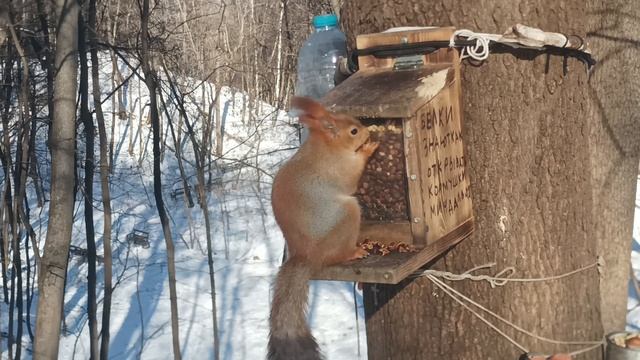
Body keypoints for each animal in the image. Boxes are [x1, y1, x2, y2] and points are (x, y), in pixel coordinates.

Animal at [268, 97, 378, 358]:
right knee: (339, 253)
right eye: (354, 131)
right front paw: (368, 148)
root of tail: (306, 256)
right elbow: (352, 177)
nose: (367, 131)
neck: (328, 147)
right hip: (347, 215)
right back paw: (354, 252)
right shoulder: (340, 169)